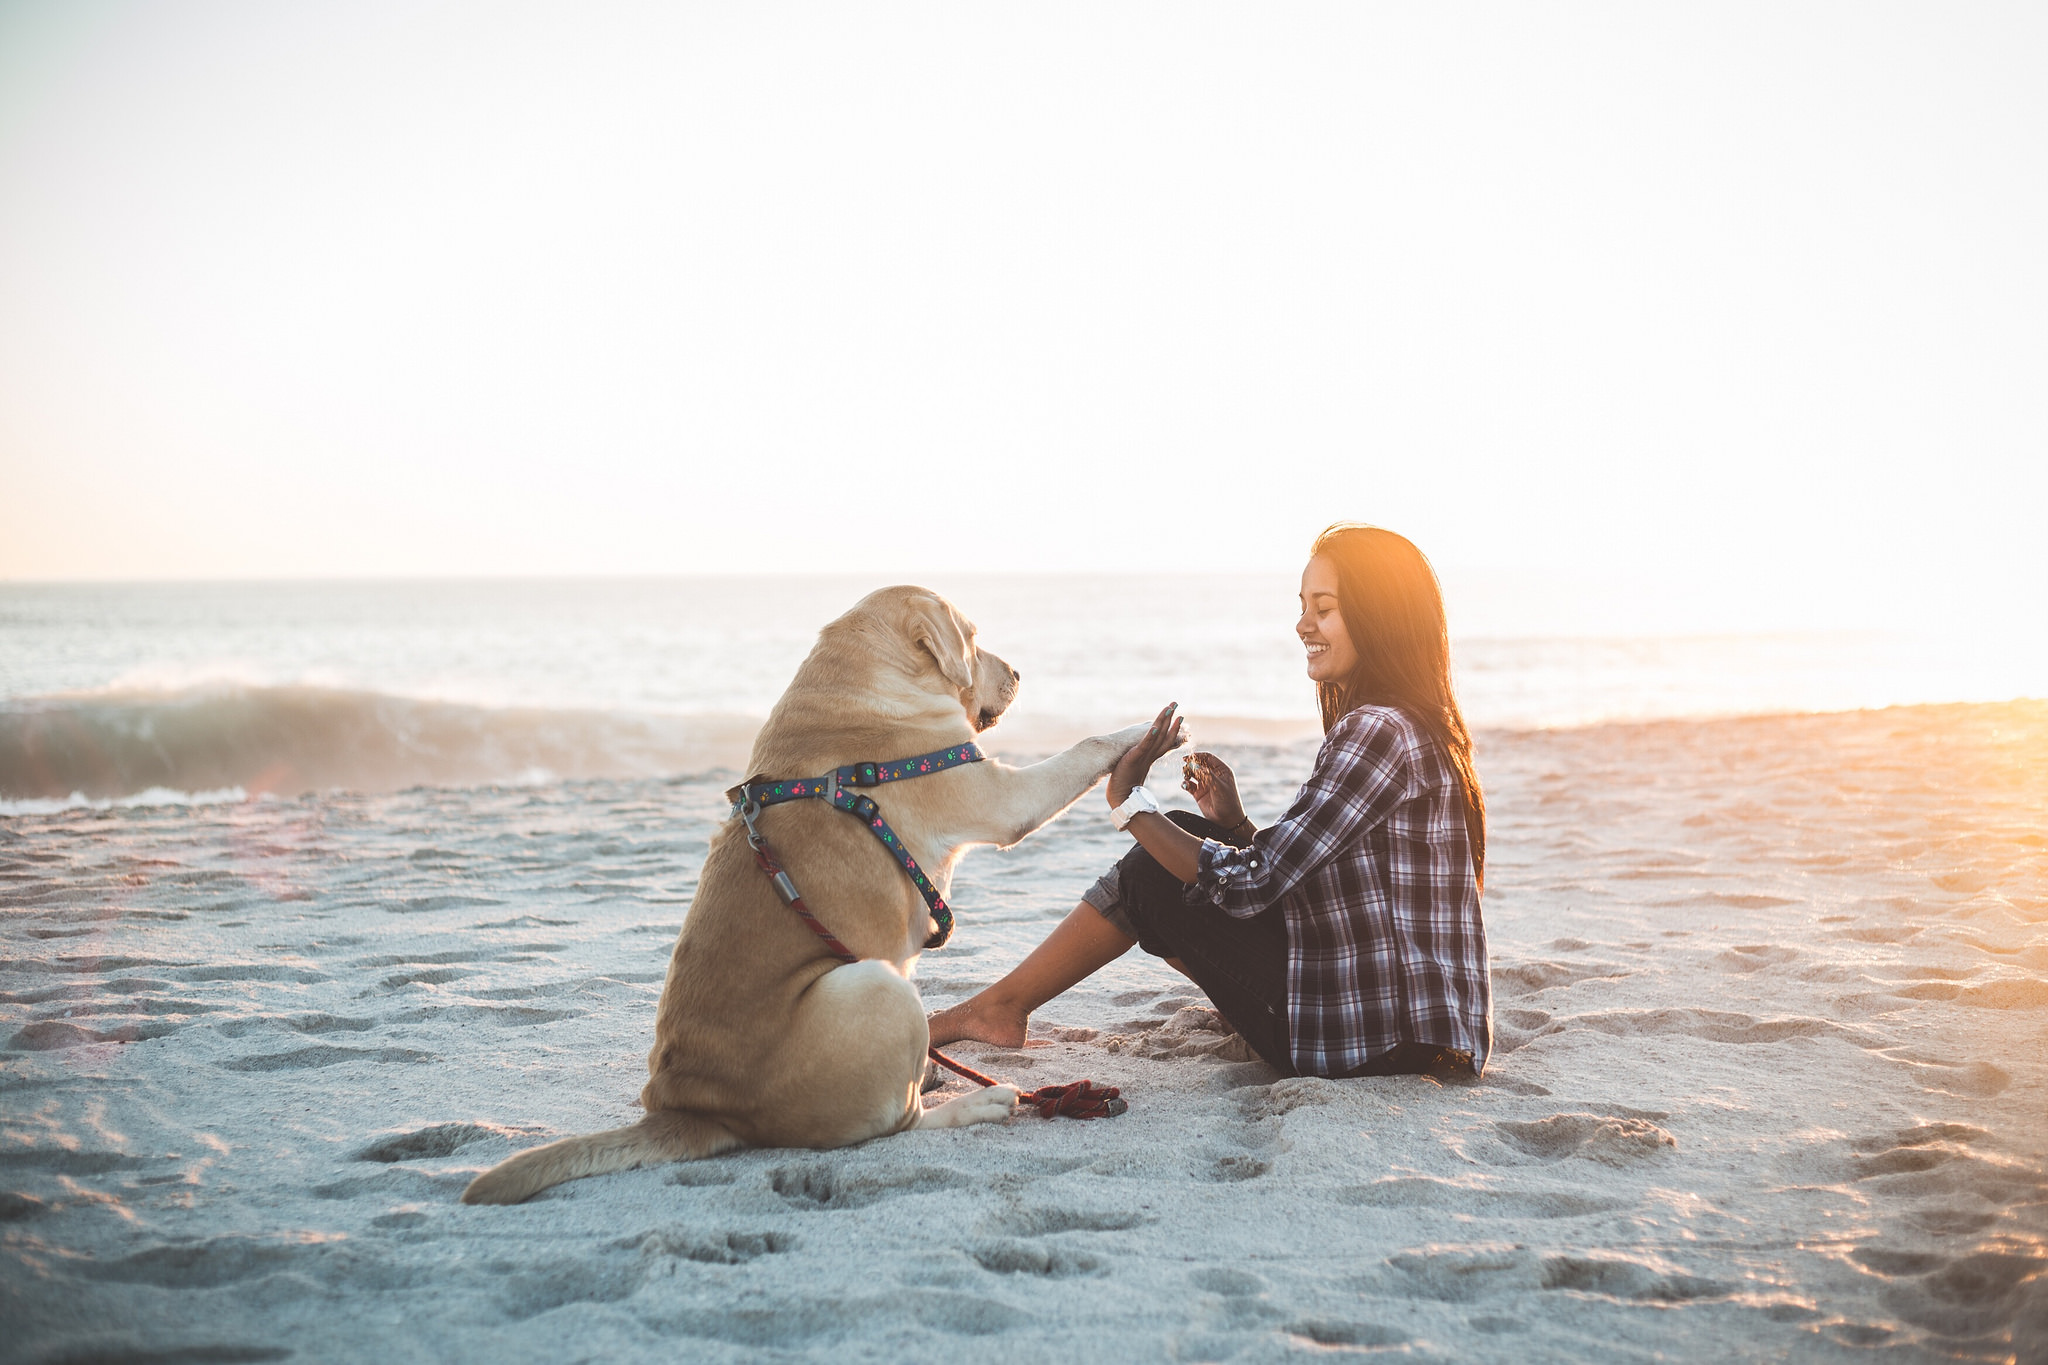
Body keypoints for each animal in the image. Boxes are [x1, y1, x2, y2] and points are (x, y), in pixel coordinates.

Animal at [458, 589, 1155, 1203]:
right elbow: (1088, 744)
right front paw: (1145, 726)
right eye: (973, 638)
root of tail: (694, 1111)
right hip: (879, 984)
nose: (1016, 672)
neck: (862, 683)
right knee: (897, 1123)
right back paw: (979, 1100)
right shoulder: (1003, 797)